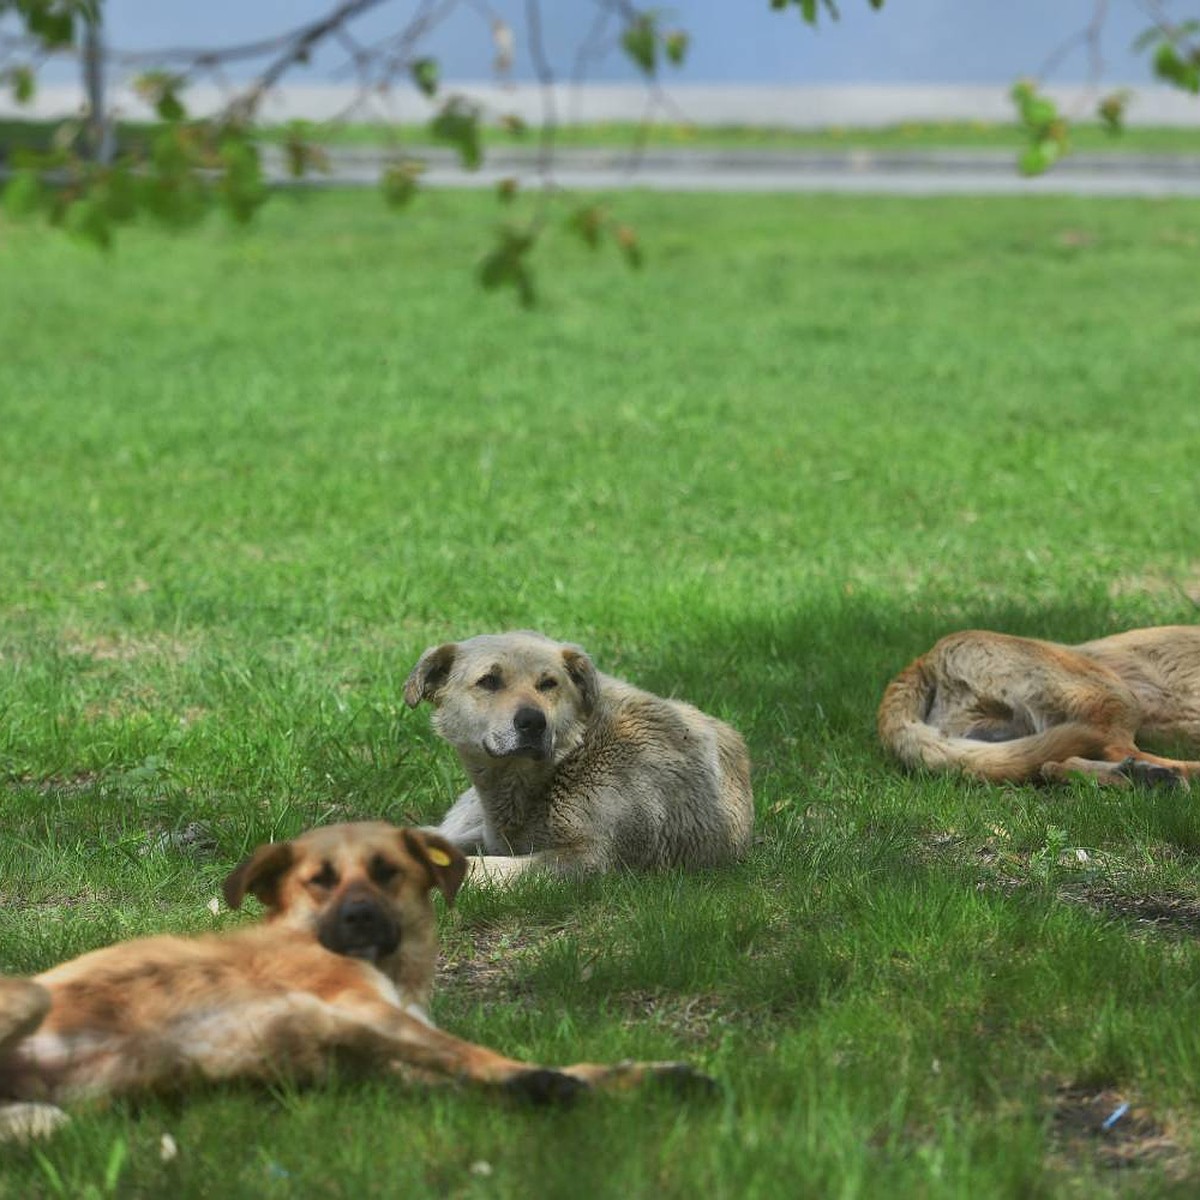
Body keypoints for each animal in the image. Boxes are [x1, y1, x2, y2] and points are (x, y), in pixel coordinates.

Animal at [0, 820, 710, 1137]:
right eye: (320, 880)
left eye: (388, 871)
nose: (361, 915)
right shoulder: (362, 1011)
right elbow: (482, 1055)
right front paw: (541, 1081)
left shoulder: (383, 1061)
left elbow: (563, 1069)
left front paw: (644, 1078)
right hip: (32, 994)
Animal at [408, 628, 753, 883]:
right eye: (489, 681)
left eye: (548, 684)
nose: (533, 723)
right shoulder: (493, 836)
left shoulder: (588, 857)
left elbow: (483, 866)